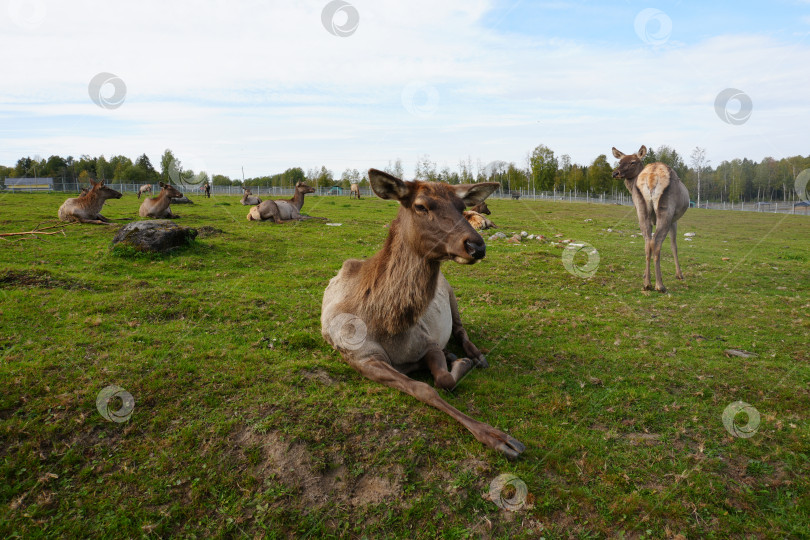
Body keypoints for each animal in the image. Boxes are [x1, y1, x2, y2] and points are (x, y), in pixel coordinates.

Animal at [318, 171, 520, 458]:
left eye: (461, 207)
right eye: (421, 206)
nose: (476, 246)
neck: (387, 323)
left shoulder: (428, 342)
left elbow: (444, 379)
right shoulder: (361, 357)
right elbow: (424, 388)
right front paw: (497, 437)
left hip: (451, 295)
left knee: (461, 330)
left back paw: (476, 356)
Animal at [612, 144, 688, 292]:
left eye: (633, 162)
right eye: (619, 162)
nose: (615, 173)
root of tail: (652, 176)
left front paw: (644, 275)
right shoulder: (674, 220)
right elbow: (674, 245)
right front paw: (679, 274)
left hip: (642, 210)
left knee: (647, 242)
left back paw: (647, 283)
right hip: (666, 209)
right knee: (656, 242)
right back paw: (660, 285)